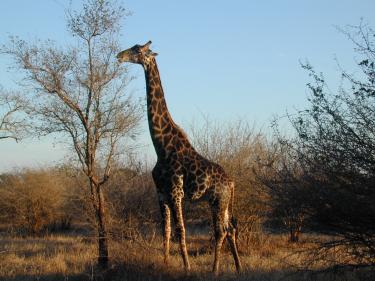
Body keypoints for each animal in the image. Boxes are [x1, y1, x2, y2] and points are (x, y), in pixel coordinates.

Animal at [116, 40, 242, 272]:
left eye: (137, 50)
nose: (119, 56)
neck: (161, 146)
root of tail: (232, 183)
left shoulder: (176, 192)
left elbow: (180, 230)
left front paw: (187, 267)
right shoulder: (161, 193)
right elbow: (165, 230)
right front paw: (165, 263)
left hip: (217, 200)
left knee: (220, 230)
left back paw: (214, 270)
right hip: (224, 202)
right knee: (231, 228)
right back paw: (238, 268)